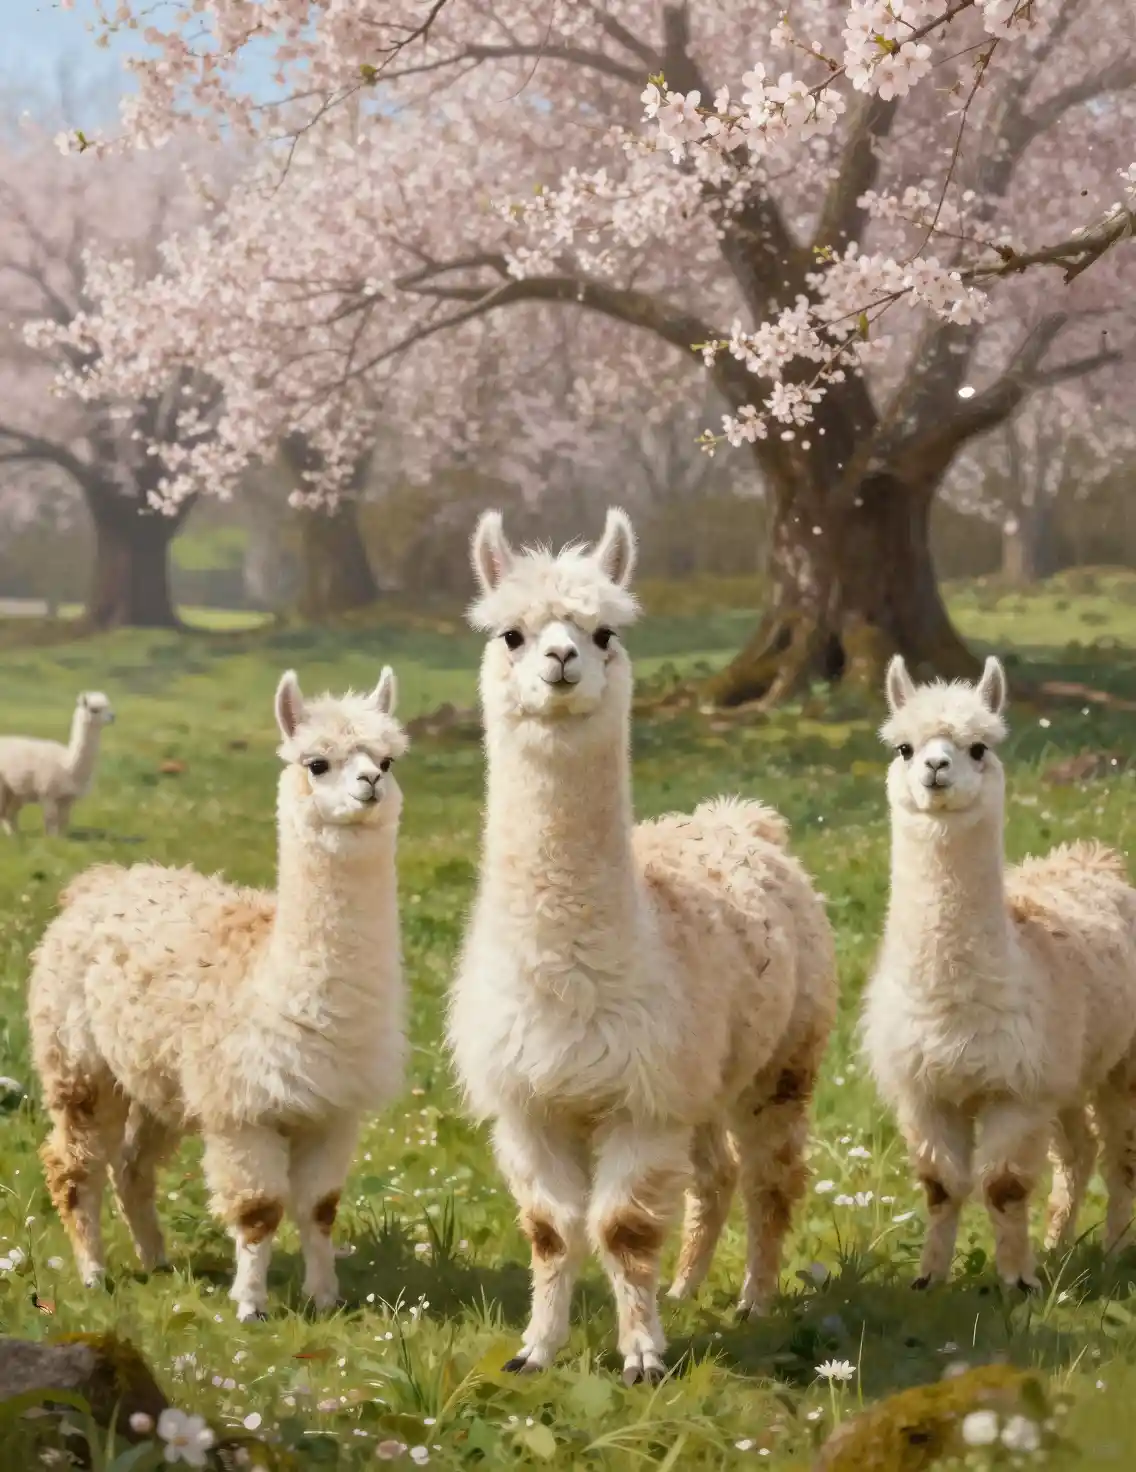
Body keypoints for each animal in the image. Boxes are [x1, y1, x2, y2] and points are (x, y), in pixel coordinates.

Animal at [0, 691, 115, 836]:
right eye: (94, 709)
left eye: (108, 706)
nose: (112, 717)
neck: (67, 765)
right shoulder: (47, 793)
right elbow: (51, 820)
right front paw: (52, 839)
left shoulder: (67, 797)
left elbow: (64, 820)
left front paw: (62, 839)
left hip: (15, 789)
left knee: (9, 813)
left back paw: (15, 835)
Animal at [27, 667, 408, 1320]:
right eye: (316, 763)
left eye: (386, 758)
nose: (371, 784)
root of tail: (96, 883)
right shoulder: (241, 1108)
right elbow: (258, 1211)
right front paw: (251, 1305)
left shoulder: (331, 1107)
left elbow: (320, 1208)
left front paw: (325, 1298)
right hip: (78, 1059)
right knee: (73, 1164)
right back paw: (93, 1271)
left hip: (159, 1080)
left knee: (132, 1166)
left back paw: (155, 1258)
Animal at [447, 508, 838, 1383]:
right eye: (512, 634)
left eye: (605, 633)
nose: (562, 660)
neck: (568, 979)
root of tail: (740, 816)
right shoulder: (532, 1103)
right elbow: (551, 1228)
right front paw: (536, 1350)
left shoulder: (640, 1097)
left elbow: (622, 1229)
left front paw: (644, 1358)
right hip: (703, 1075)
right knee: (716, 1174)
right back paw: (689, 1286)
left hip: (782, 1057)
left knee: (770, 1177)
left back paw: (754, 1297)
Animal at [862, 655, 1136, 1291]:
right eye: (905, 748)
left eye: (979, 747)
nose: (936, 768)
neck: (952, 1005)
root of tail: (1093, 857)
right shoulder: (928, 1090)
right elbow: (940, 1186)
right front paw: (929, 1279)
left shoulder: (1018, 1088)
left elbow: (1004, 1186)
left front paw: (1018, 1282)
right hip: (1068, 1069)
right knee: (1079, 1151)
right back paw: (1060, 1244)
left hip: (1120, 1061)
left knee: (1119, 1154)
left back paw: (1114, 1249)